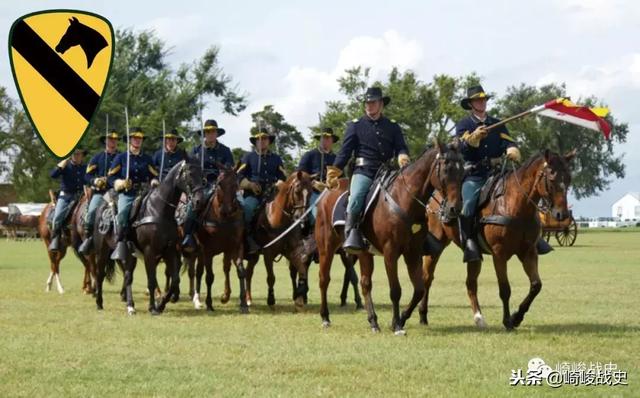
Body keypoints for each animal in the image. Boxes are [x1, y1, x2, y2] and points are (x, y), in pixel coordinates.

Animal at [189, 166, 249, 312]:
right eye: (219, 183)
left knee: (224, 268)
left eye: (235, 185)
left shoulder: (236, 246)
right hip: (196, 251)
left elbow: (240, 271)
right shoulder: (207, 250)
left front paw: (243, 303)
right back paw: (195, 299)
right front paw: (209, 303)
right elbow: (209, 276)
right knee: (196, 272)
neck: (223, 218)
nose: (226, 209)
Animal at [244, 169, 314, 310]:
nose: (303, 219)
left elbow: (302, 271)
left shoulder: (292, 251)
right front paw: (271, 299)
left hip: (254, 257)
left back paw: (248, 299)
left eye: (310, 192)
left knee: (248, 273)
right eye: (297, 190)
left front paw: (300, 296)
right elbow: (271, 277)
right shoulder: (268, 253)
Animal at [316, 143, 464, 332]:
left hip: (364, 252)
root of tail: (326, 194)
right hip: (326, 248)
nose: (455, 209)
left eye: (462, 172)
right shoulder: (390, 252)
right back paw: (325, 317)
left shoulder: (413, 253)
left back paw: (373, 321)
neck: (404, 200)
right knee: (324, 279)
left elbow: (419, 289)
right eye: (446, 170)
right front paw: (398, 325)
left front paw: (401, 318)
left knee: (365, 283)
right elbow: (395, 290)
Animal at [420, 149, 576, 330]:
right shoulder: (499, 254)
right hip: (436, 246)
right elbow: (505, 289)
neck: (515, 205)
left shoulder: (529, 252)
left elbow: (536, 285)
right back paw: (423, 315)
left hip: (474, 255)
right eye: (551, 178)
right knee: (427, 278)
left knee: (470, 283)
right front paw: (508, 321)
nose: (562, 214)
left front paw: (517, 317)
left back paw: (479, 318)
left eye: (569, 178)